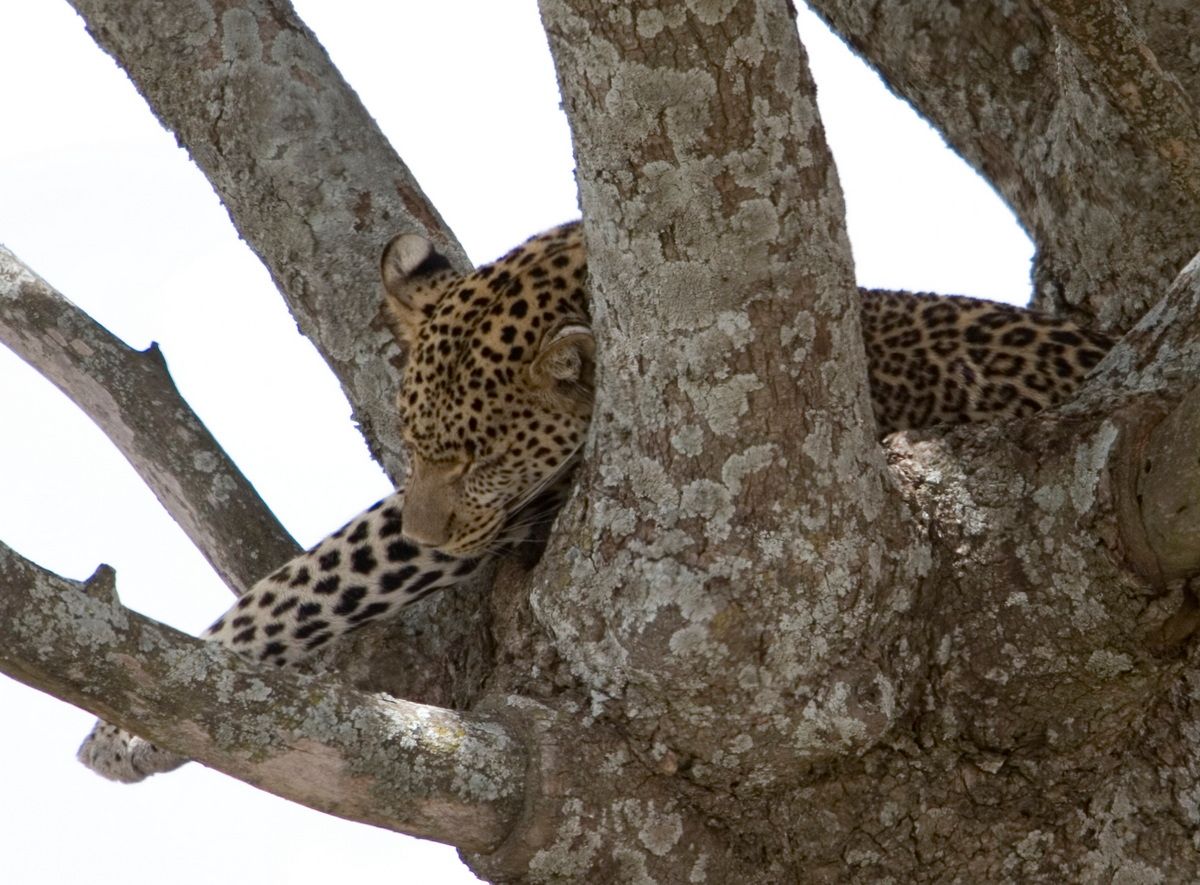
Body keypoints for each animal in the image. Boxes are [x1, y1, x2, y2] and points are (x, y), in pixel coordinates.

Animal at [77, 220, 1112, 783]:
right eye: (413, 442)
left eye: (479, 456)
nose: (428, 514)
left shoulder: (501, 513)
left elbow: (322, 571)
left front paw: (121, 732)